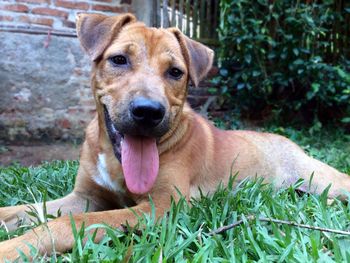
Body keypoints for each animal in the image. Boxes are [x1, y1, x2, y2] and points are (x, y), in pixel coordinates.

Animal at [0, 12, 350, 262]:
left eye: (176, 72)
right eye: (119, 59)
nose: (148, 112)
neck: (114, 158)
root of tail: (287, 141)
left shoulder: (162, 206)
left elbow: (68, 223)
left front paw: (13, 248)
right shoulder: (85, 196)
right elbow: (23, 210)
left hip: (322, 177)